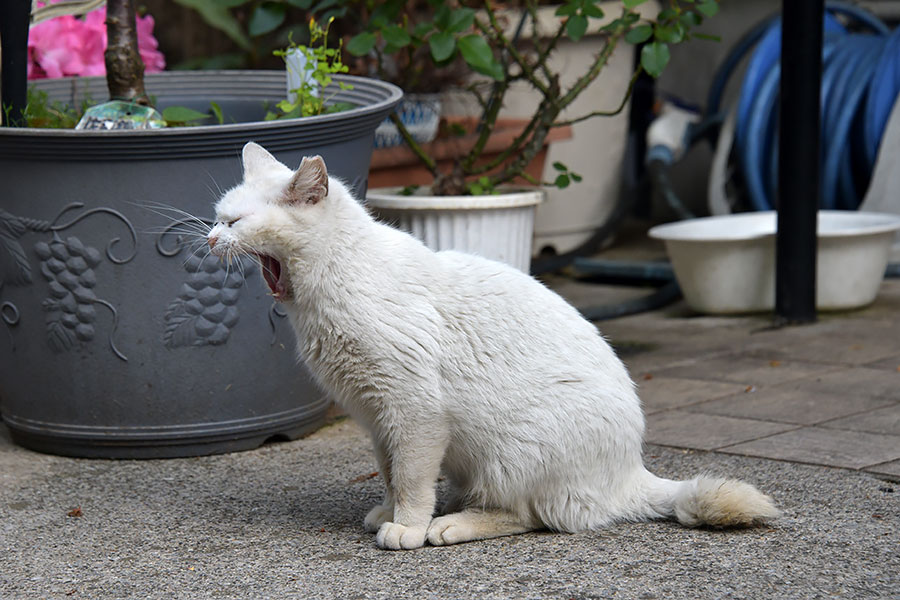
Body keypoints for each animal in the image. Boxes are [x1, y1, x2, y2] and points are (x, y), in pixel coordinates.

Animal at [206, 143, 780, 552]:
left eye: (235, 223)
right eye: (218, 216)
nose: (210, 239)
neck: (336, 281)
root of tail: (630, 473)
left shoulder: (414, 410)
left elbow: (412, 477)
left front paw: (406, 526)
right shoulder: (375, 416)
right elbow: (391, 472)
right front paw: (389, 511)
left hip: (510, 450)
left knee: (533, 516)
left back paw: (450, 526)